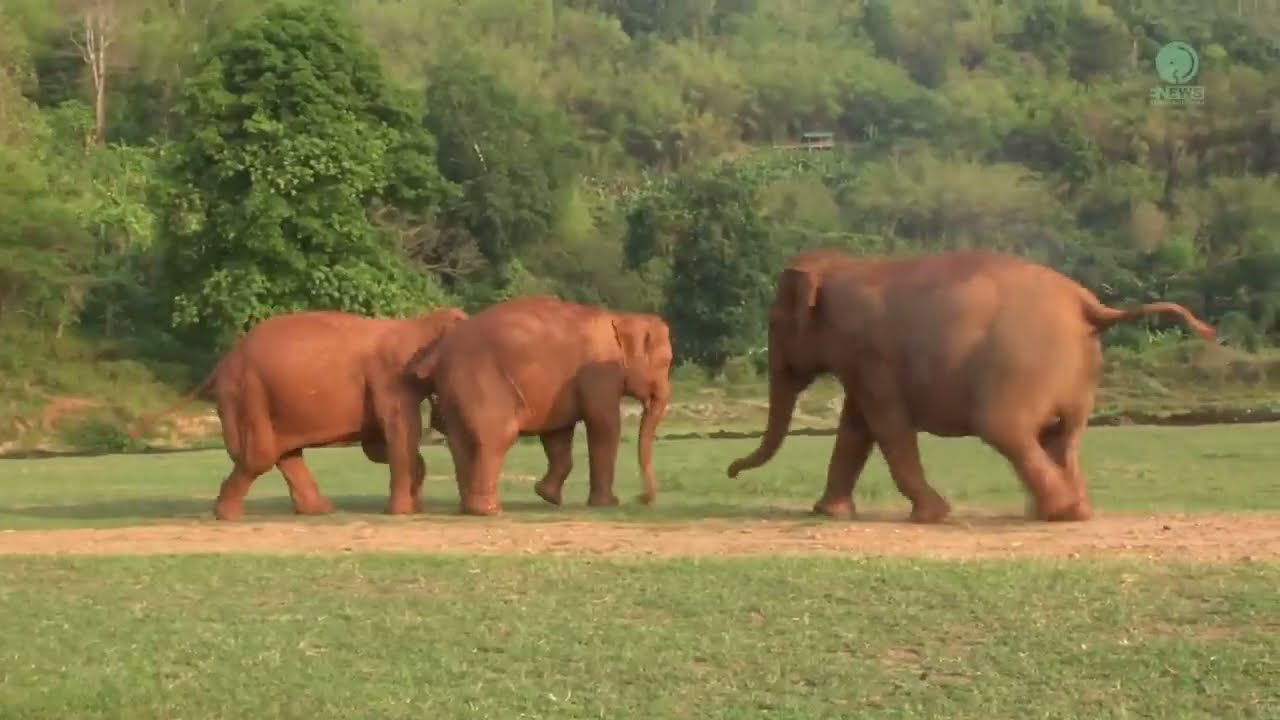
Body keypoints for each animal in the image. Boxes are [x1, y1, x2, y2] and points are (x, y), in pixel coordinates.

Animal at [130, 307, 468, 520]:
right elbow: (398, 434)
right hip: (249, 391)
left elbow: (376, 446)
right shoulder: (391, 380)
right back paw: (227, 516)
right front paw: (401, 513)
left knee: (283, 451)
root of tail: (222, 362)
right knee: (260, 454)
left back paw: (318, 511)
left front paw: (415, 504)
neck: (419, 324)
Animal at [406, 295, 672, 516]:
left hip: (454, 389)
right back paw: (490, 511)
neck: (620, 317)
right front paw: (607, 504)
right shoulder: (599, 376)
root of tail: (441, 350)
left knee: (459, 441)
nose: (642, 499)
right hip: (480, 381)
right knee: (496, 436)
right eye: (665, 362)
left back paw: (469, 508)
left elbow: (557, 434)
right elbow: (604, 424)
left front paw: (547, 496)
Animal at [726, 249, 1217, 523]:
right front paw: (829, 514)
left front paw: (931, 516)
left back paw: (1059, 514)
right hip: (1079, 377)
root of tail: (1090, 304)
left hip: (1018, 369)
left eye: (773, 323)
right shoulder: (863, 363)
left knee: (1007, 431)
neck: (844, 265)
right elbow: (856, 428)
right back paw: (1069, 512)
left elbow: (886, 426)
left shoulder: (868, 355)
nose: (730, 471)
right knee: (1063, 437)